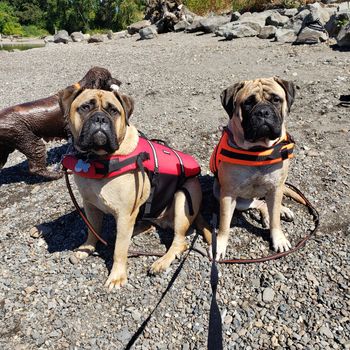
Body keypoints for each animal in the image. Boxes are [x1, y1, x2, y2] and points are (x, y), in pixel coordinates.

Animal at [61, 86, 209, 288]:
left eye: (113, 111)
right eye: (85, 107)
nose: (100, 118)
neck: (98, 158)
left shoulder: (124, 214)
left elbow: (119, 250)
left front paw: (117, 276)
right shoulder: (90, 206)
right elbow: (93, 230)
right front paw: (87, 248)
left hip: (182, 198)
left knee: (179, 242)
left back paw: (161, 262)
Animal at [211, 77, 298, 260]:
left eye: (276, 100)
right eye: (248, 103)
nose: (263, 112)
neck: (258, 149)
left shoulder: (276, 187)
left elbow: (275, 220)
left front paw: (278, 238)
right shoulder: (228, 194)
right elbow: (224, 223)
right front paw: (219, 244)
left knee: (269, 205)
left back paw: (282, 210)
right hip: (230, 196)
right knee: (260, 204)